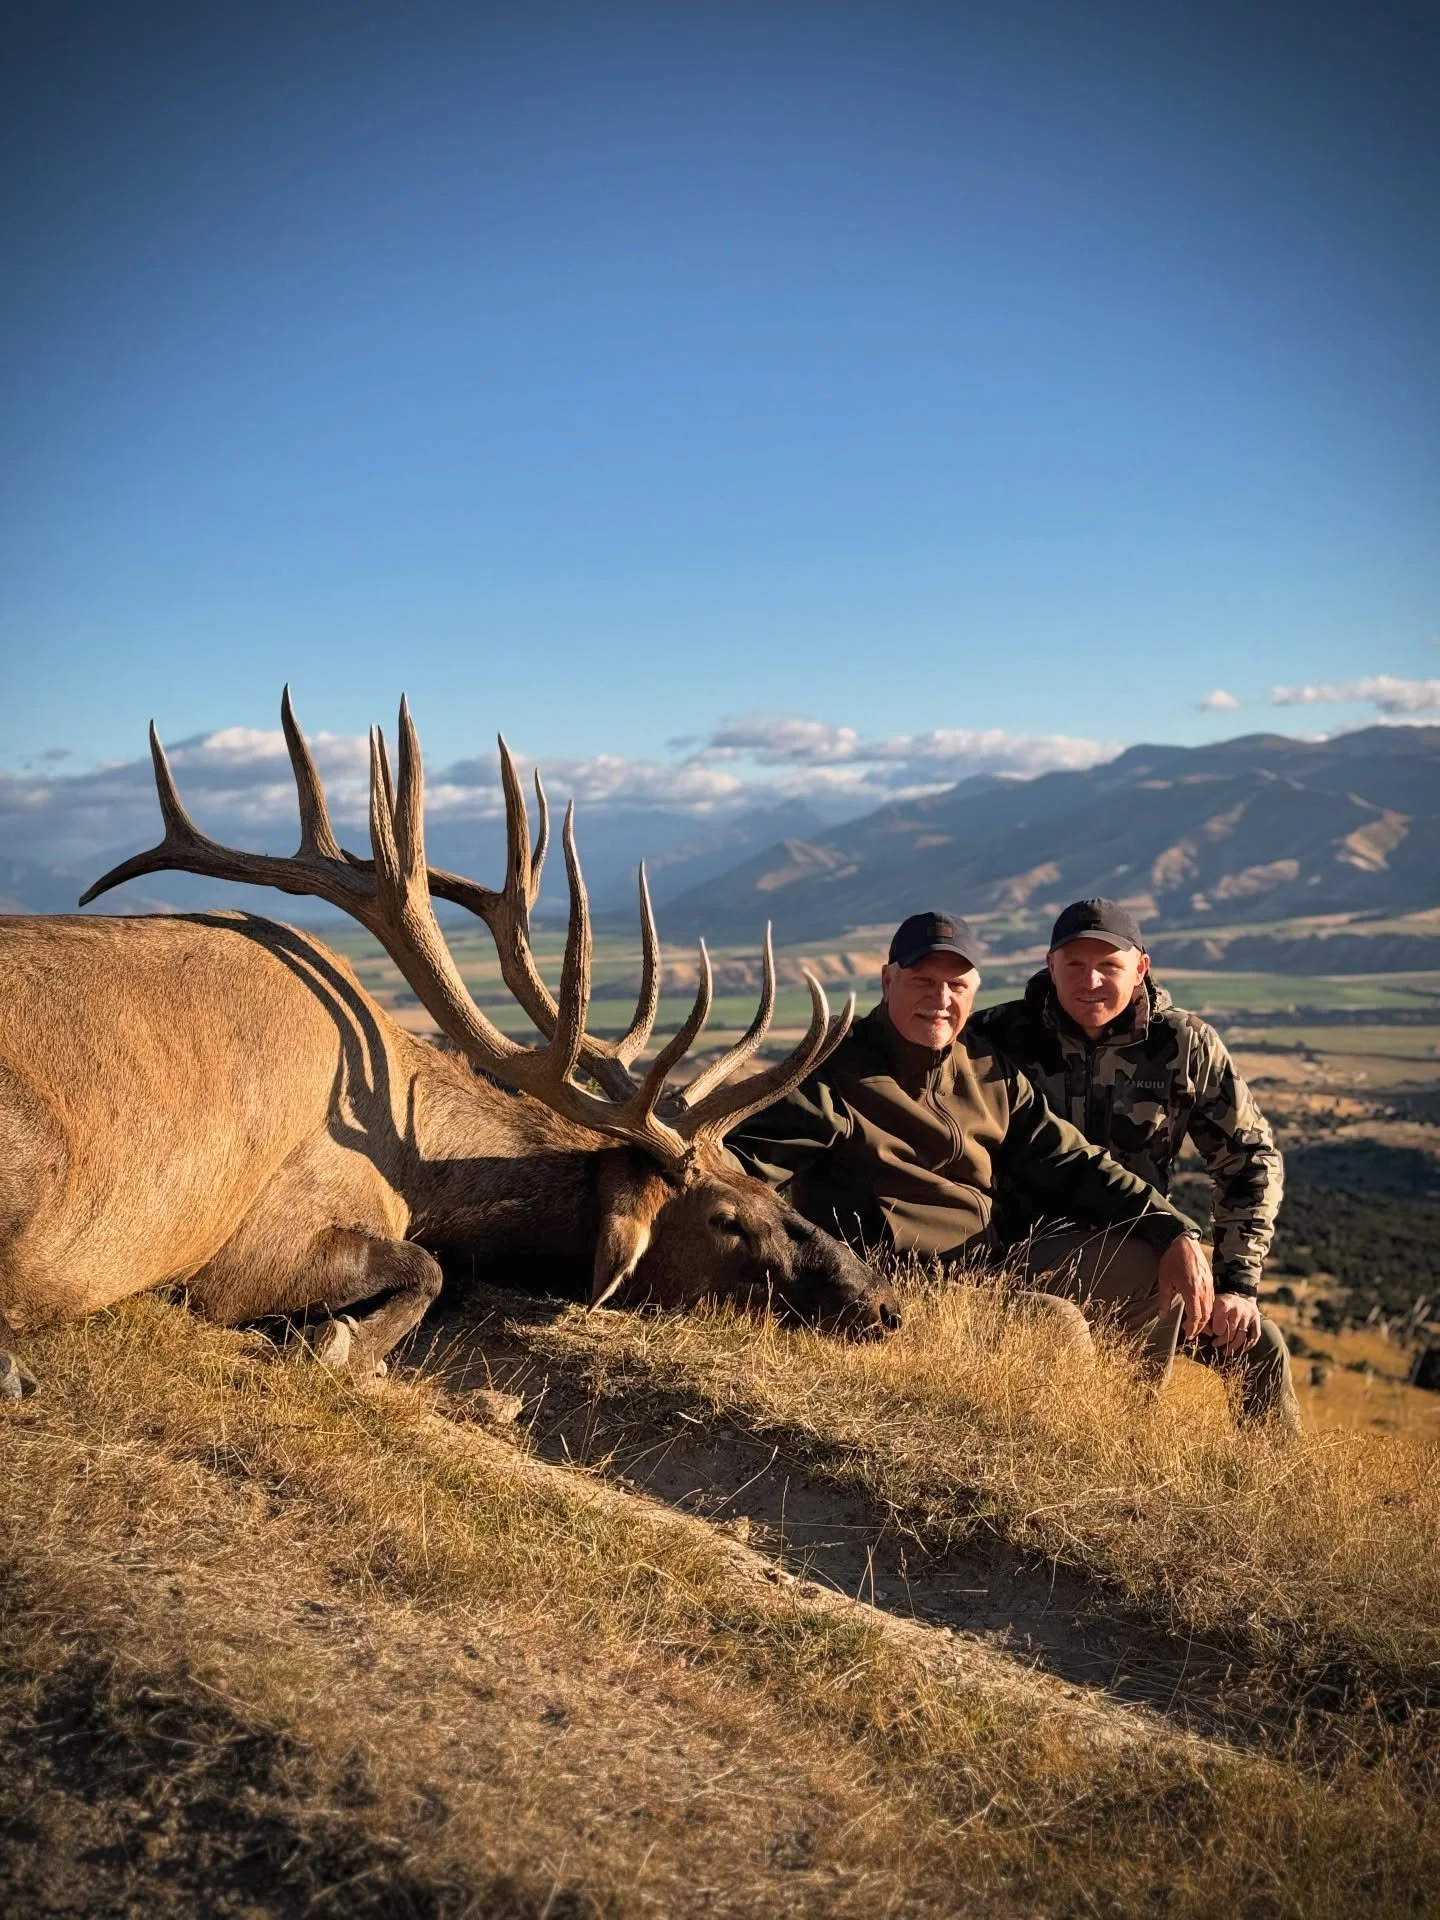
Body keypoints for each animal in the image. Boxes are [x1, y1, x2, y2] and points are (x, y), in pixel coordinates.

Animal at [0, 694, 898, 1400]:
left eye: (762, 1180)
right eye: (726, 1220)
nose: (882, 1303)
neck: (413, 1160)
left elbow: (439, 1272)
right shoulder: (254, 1247)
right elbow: (426, 1271)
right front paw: (336, 1345)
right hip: (36, 1149)